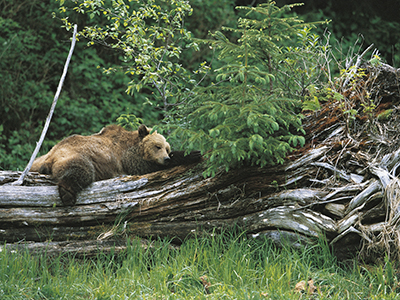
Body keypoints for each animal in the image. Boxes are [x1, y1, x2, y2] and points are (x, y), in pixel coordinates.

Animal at [31, 125, 202, 206]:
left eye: (167, 148)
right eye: (157, 146)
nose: (166, 158)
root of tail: (50, 156)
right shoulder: (126, 157)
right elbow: (144, 167)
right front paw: (191, 154)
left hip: (38, 160)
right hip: (73, 154)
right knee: (82, 169)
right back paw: (67, 194)